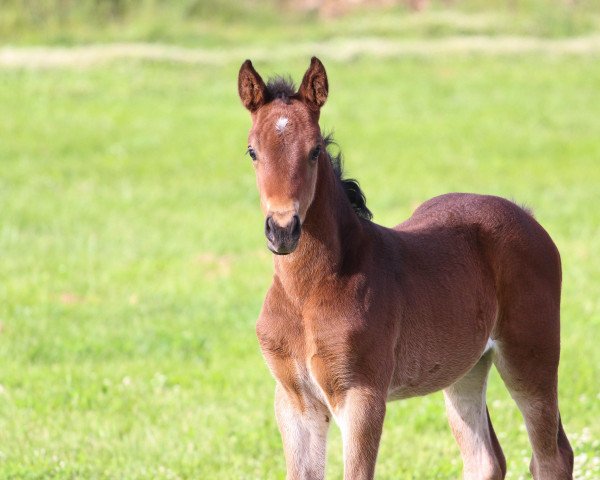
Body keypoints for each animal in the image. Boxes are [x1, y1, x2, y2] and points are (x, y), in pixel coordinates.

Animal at [237, 57, 576, 480]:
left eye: (314, 151)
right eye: (252, 151)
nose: (283, 229)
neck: (307, 292)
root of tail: (526, 215)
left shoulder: (362, 395)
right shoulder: (294, 400)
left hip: (530, 353)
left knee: (550, 457)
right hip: (465, 367)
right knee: (485, 459)